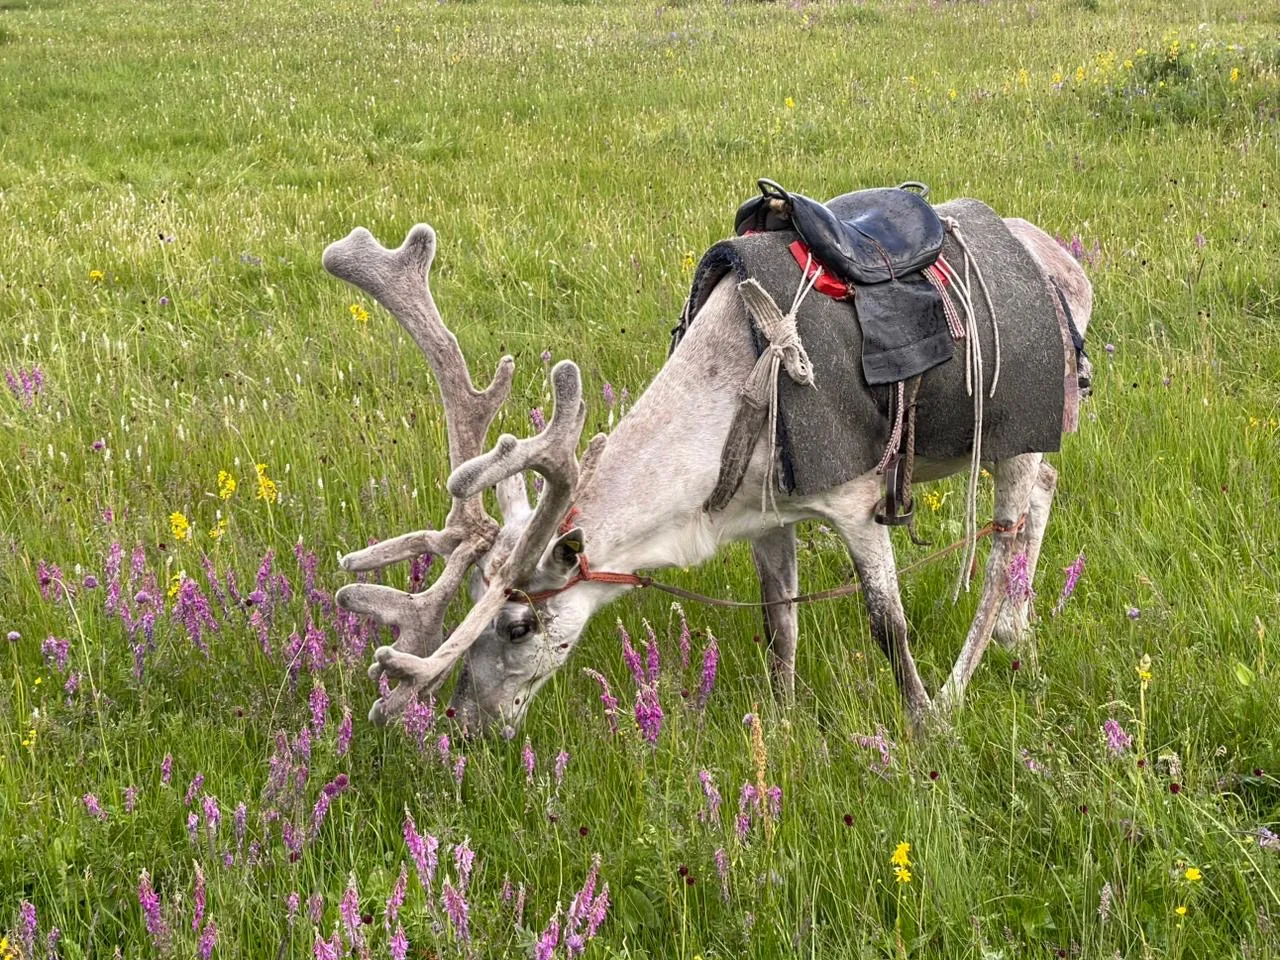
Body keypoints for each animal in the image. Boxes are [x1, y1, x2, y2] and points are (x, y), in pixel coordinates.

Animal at [324, 210, 1091, 736]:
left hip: (1020, 432)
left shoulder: (855, 500)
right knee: (1042, 500)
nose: (465, 723)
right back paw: (1020, 636)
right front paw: (780, 724)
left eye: (516, 626)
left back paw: (964, 684)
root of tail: (1071, 272)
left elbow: (889, 629)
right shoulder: (770, 516)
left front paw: (925, 727)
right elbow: (779, 624)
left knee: (1001, 547)